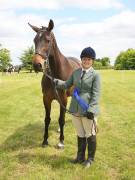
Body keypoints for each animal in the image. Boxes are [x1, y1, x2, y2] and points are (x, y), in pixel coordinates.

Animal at [28, 19, 80, 149]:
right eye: (34, 40)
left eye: (48, 40)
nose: (37, 65)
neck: (55, 73)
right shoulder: (46, 99)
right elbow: (47, 119)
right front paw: (45, 140)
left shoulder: (63, 99)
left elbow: (61, 119)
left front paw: (61, 141)